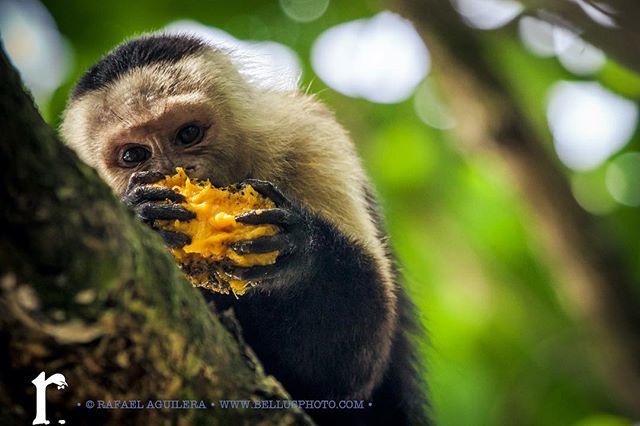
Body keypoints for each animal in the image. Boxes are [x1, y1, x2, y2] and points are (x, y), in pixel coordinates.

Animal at [60, 33, 429, 425]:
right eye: (133, 155)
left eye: (188, 133)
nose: (176, 171)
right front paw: (142, 213)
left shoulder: (308, 137)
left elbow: (344, 367)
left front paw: (299, 251)